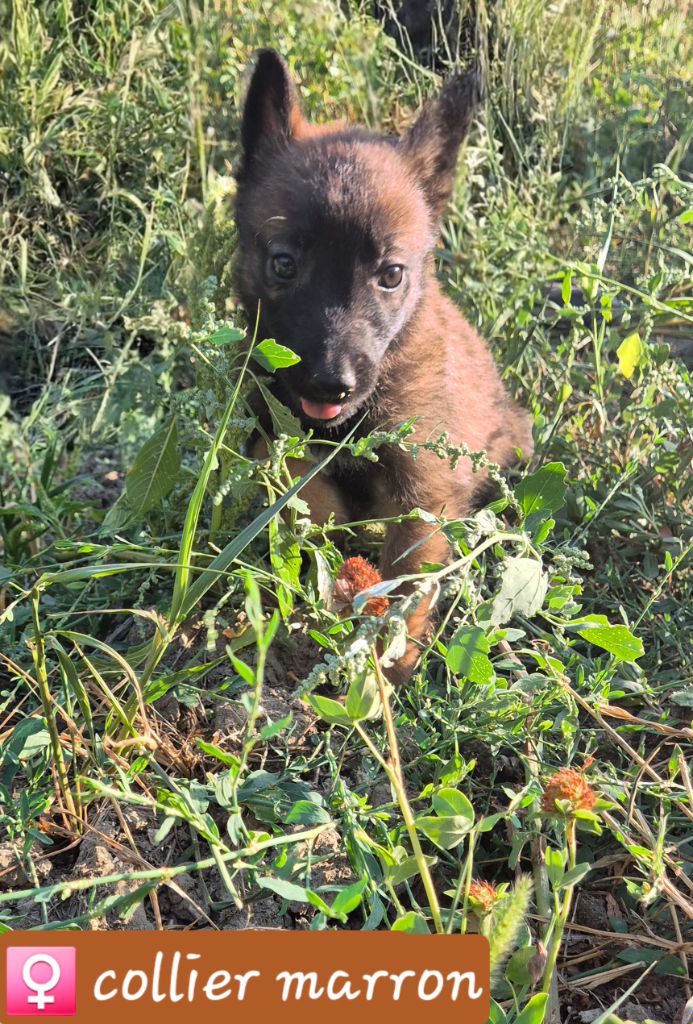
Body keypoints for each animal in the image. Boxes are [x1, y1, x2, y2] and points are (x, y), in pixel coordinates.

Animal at [235, 51, 532, 684]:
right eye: (284, 263)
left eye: (391, 275)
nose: (330, 384)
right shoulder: (283, 449)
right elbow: (312, 510)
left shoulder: (423, 489)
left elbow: (407, 579)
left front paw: (388, 659)